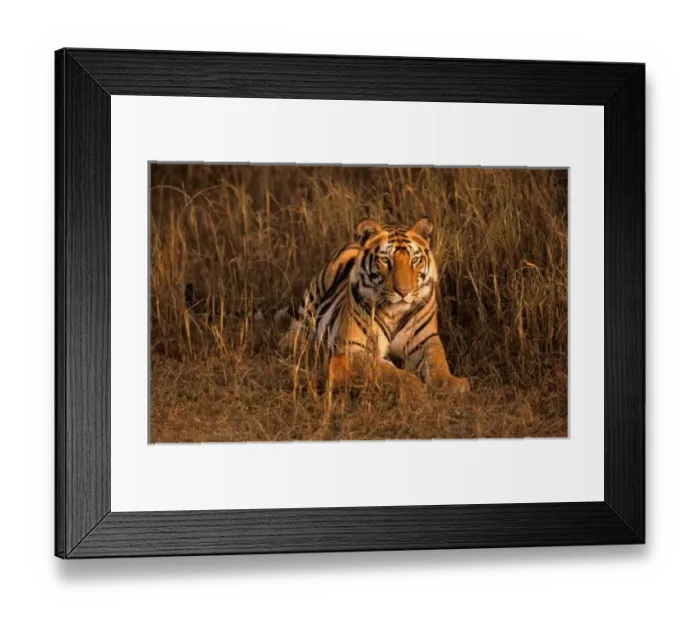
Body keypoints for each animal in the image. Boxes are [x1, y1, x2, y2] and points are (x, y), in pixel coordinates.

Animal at [283, 217, 470, 395]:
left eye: (415, 260)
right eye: (385, 260)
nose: (403, 291)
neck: (395, 313)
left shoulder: (426, 340)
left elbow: (438, 361)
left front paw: (453, 383)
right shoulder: (354, 348)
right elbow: (388, 371)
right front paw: (414, 384)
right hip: (310, 304)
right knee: (293, 334)